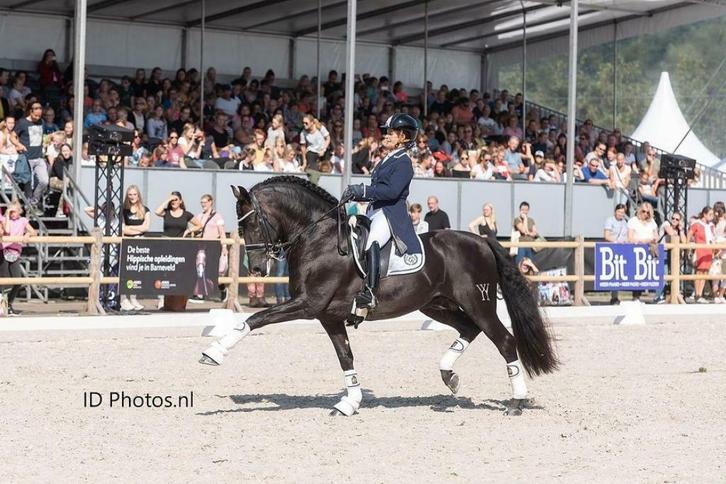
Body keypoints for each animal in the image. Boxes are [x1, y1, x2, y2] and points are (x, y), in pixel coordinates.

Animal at [200, 176, 558, 416]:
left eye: (252, 225)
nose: (257, 268)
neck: (319, 238)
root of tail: (481, 240)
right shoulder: (328, 315)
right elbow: (346, 357)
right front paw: (349, 402)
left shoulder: (308, 304)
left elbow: (255, 318)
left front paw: (213, 353)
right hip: (435, 305)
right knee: (468, 330)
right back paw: (449, 377)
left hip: (478, 303)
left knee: (504, 341)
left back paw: (516, 402)